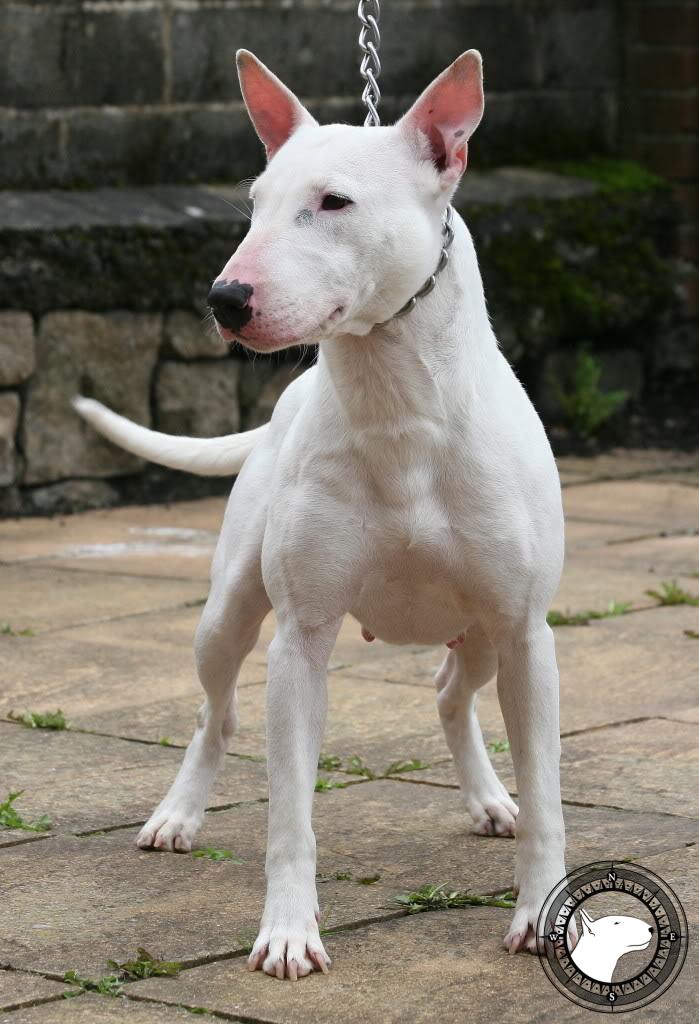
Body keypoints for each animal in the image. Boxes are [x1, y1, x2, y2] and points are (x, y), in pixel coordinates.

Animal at [73, 48, 573, 974]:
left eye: (334, 202)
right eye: (255, 200)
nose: (225, 299)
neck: (397, 405)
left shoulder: (528, 635)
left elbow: (549, 795)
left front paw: (539, 915)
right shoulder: (300, 640)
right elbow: (288, 812)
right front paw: (287, 932)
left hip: (488, 637)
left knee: (451, 692)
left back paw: (492, 800)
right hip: (225, 615)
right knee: (216, 713)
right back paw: (177, 815)